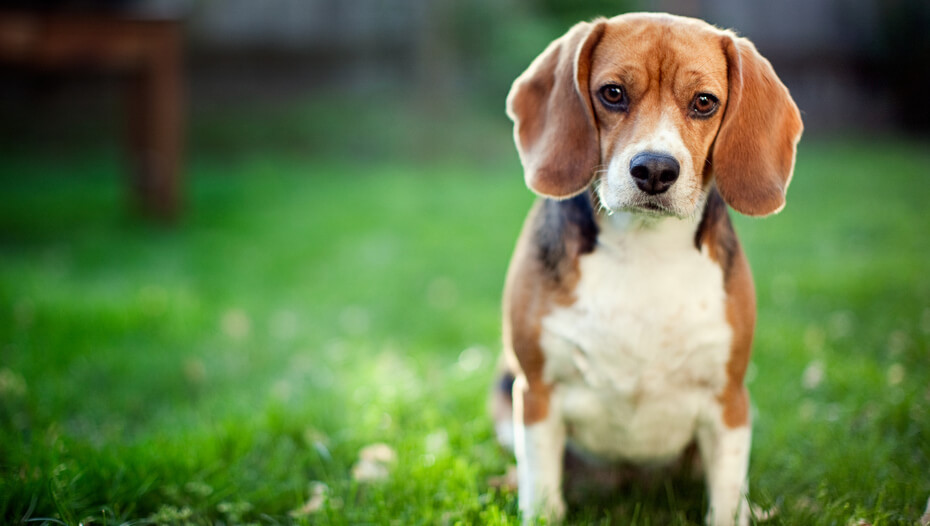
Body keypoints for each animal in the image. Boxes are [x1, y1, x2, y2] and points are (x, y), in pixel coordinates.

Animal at [496, 12, 800, 526]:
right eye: (613, 93)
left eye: (704, 102)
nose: (655, 170)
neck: (644, 248)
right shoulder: (536, 394)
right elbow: (543, 498)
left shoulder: (729, 402)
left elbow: (725, 499)